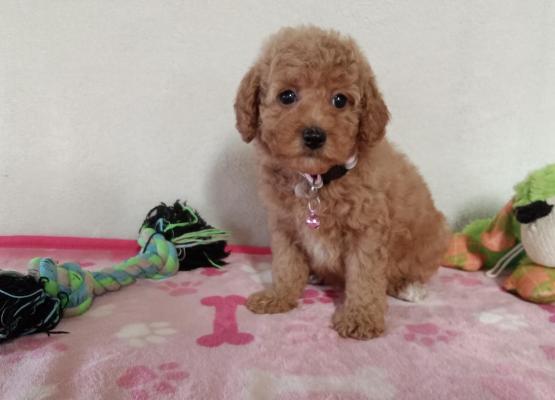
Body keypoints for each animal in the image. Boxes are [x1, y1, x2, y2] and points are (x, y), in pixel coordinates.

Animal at [234, 26, 450, 339]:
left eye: (340, 100)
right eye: (287, 96)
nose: (314, 136)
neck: (317, 181)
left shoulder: (367, 231)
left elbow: (364, 277)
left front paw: (361, 317)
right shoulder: (285, 226)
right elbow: (285, 264)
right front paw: (279, 296)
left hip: (434, 237)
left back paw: (407, 286)